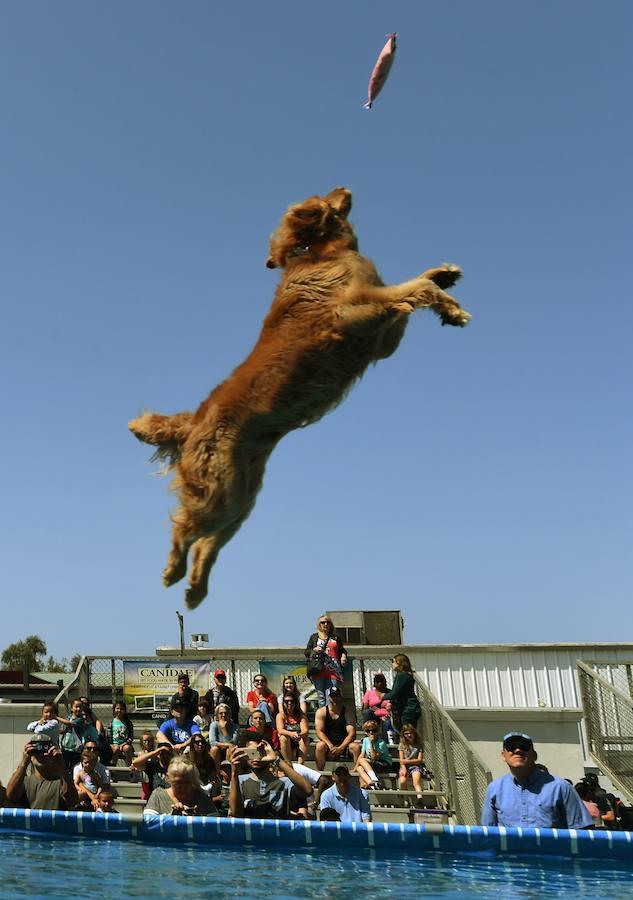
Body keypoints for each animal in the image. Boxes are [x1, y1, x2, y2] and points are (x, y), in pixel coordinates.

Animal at [130, 190, 470, 612]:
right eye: (323, 196)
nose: (345, 186)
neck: (326, 252)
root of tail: (192, 421)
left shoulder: (382, 337)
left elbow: (413, 290)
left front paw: (444, 275)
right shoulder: (355, 312)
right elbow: (414, 289)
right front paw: (452, 305)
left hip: (240, 498)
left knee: (210, 543)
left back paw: (196, 589)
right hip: (220, 492)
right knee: (185, 529)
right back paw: (173, 571)